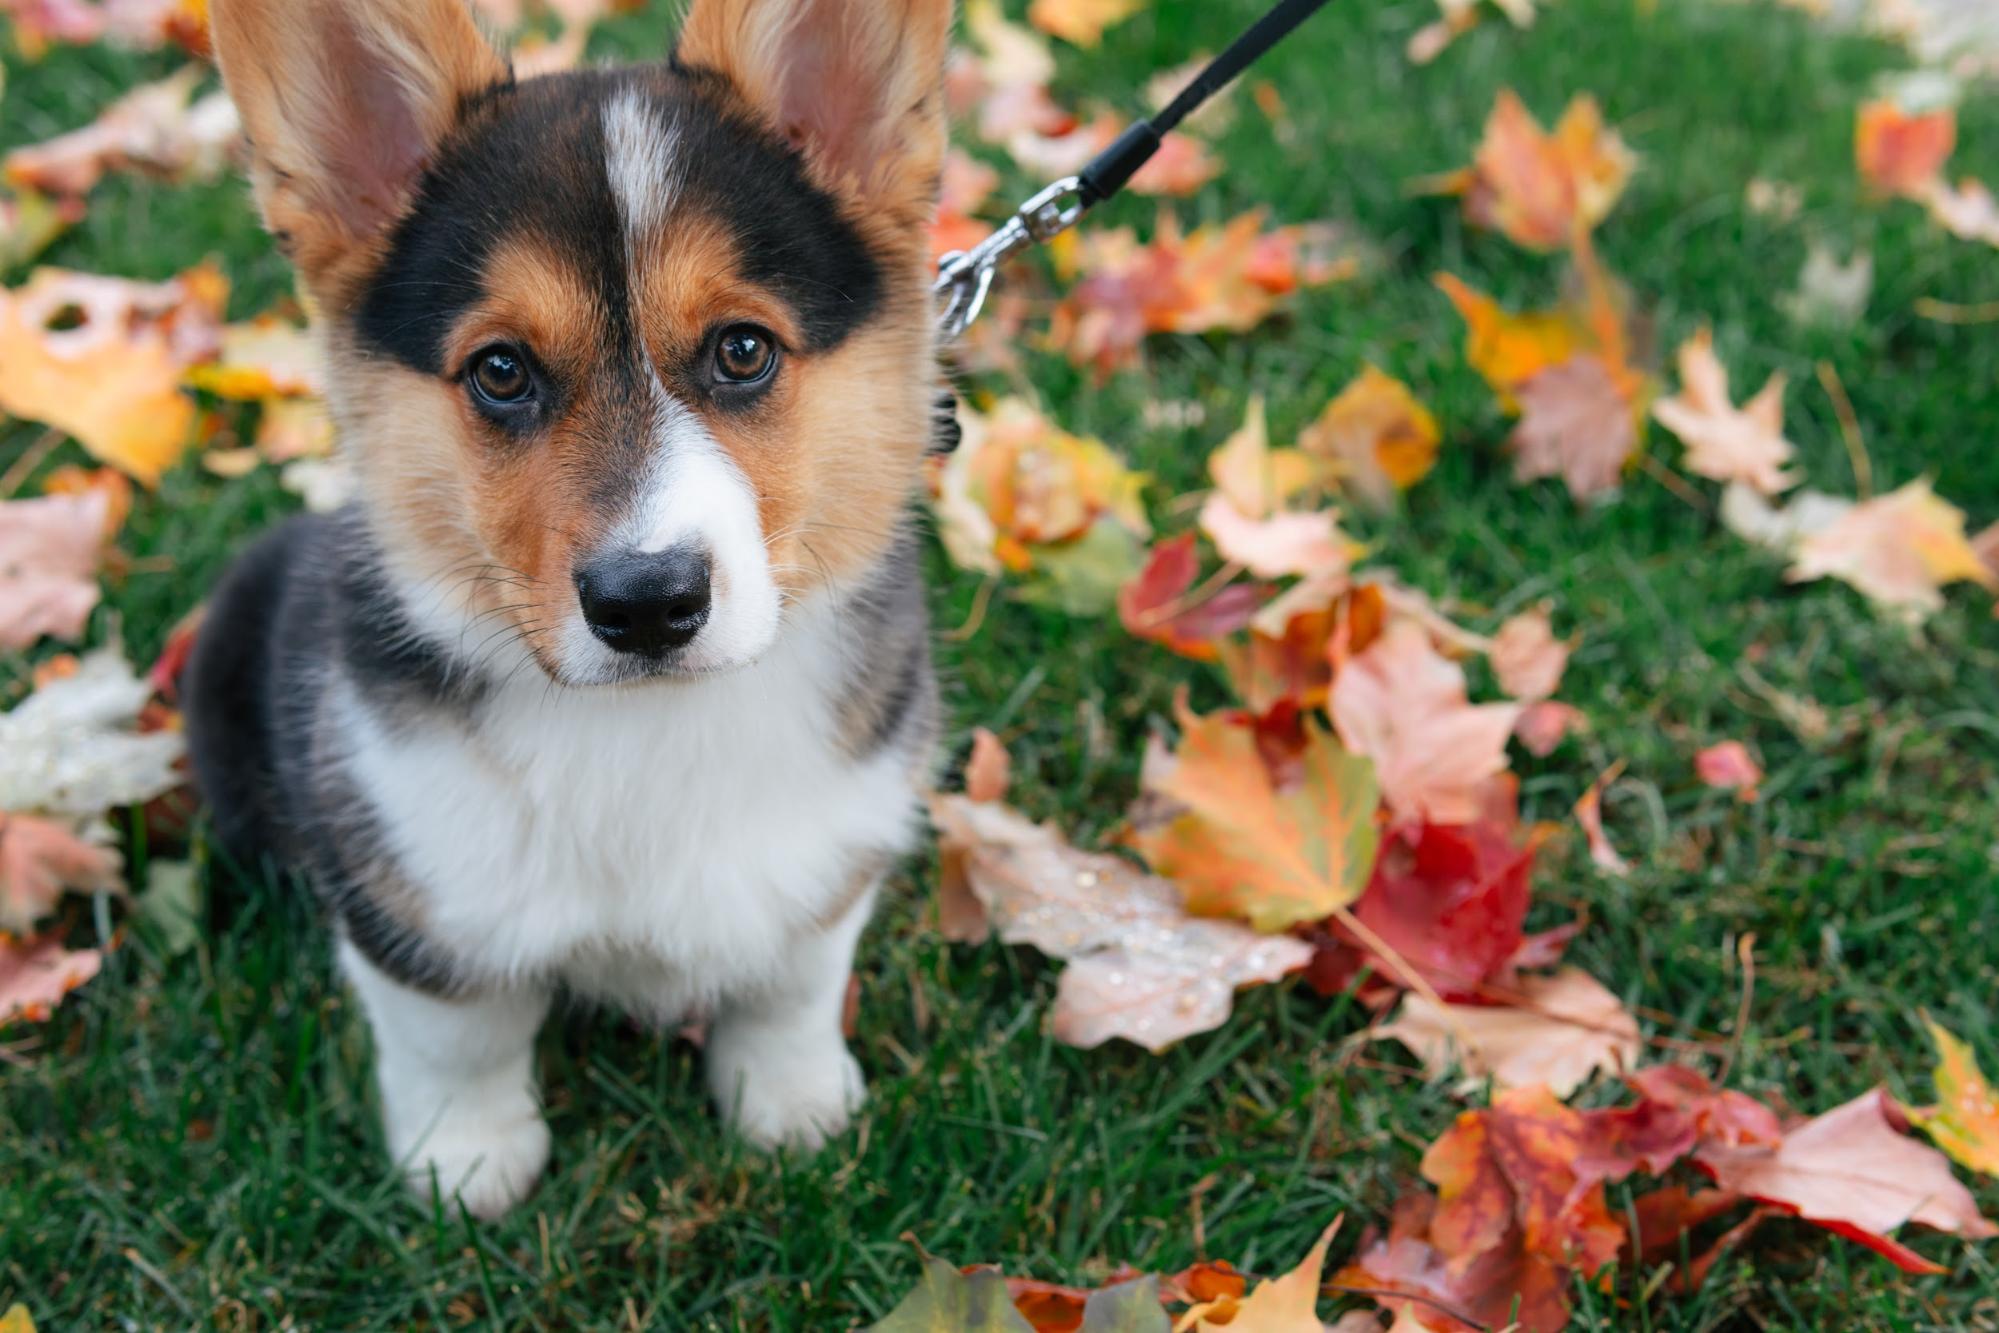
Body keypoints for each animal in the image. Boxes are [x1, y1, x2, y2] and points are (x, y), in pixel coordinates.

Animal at [183, 0, 947, 1223]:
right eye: (501, 371)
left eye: (743, 349)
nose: (647, 603)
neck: (648, 726)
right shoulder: (414, 894)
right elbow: (456, 1037)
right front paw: (465, 1165)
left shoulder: (834, 849)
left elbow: (789, 985)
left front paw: (794, 1111)